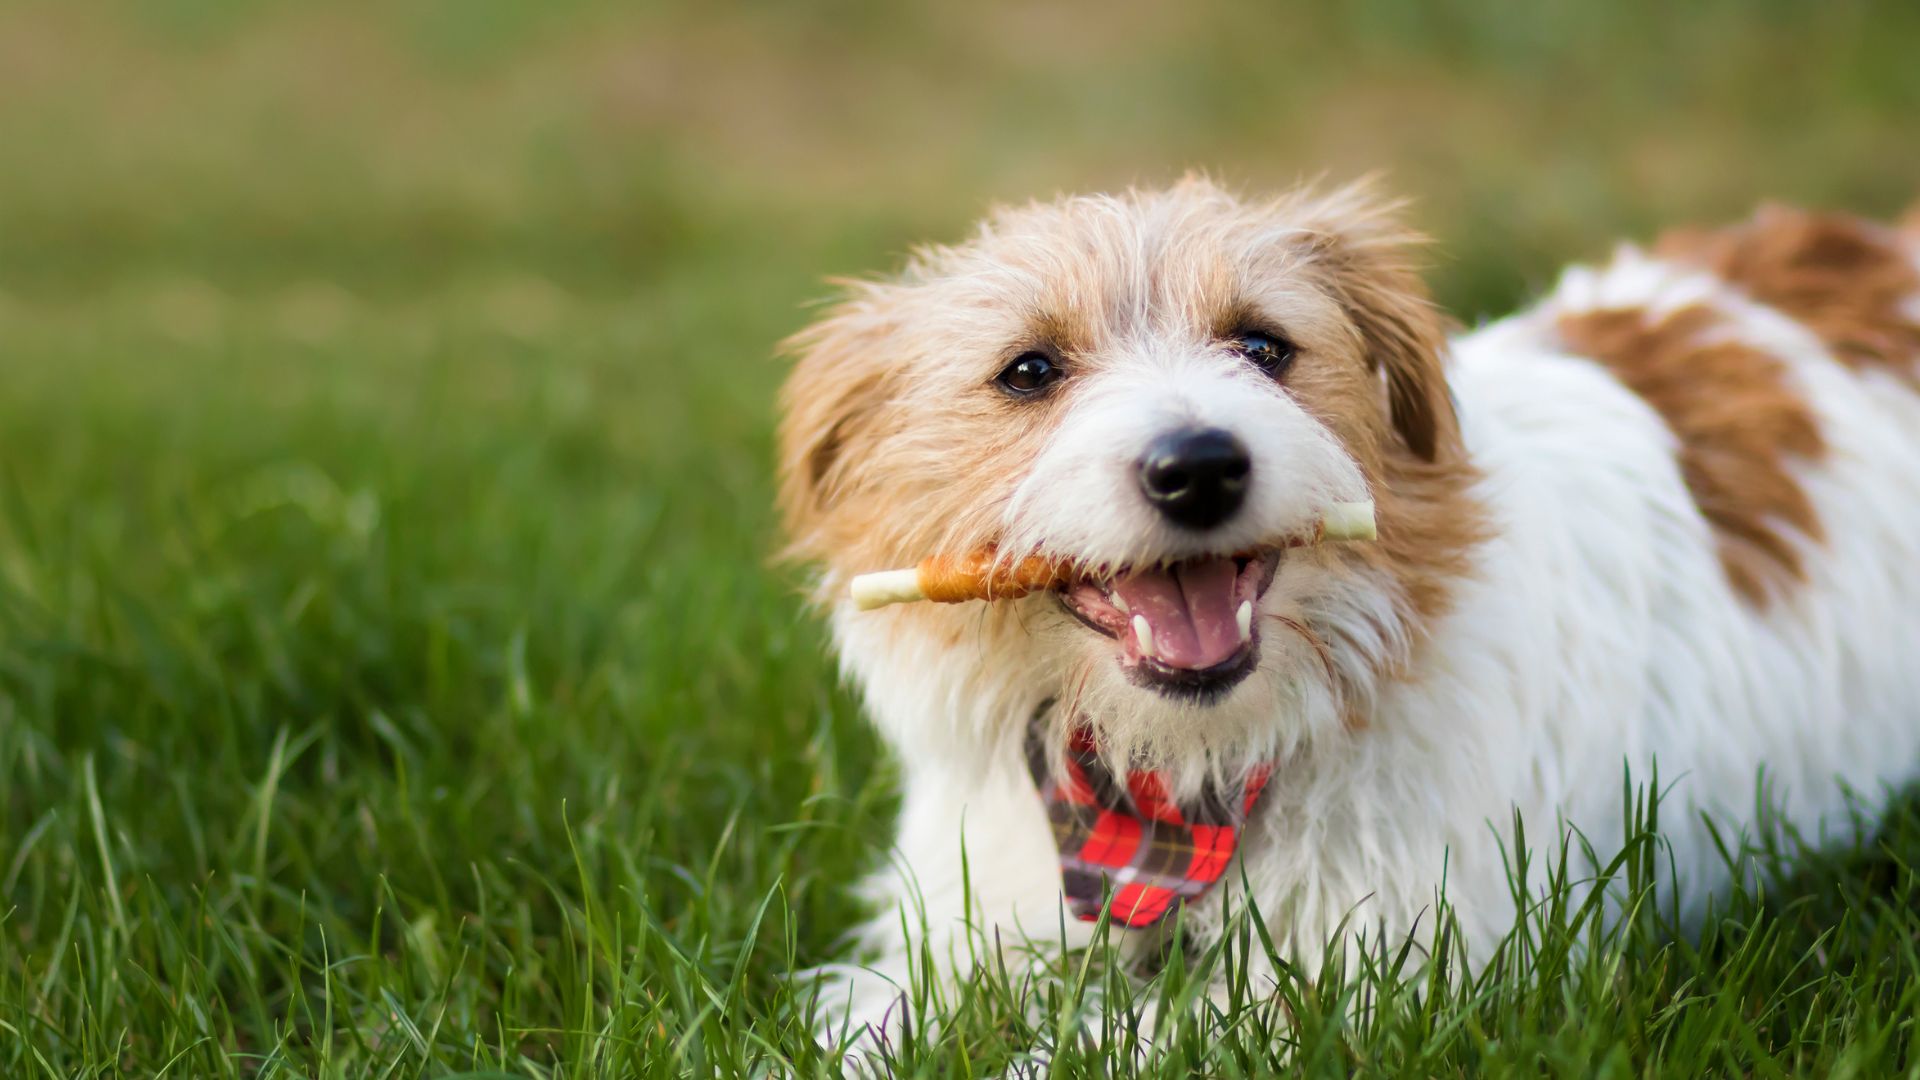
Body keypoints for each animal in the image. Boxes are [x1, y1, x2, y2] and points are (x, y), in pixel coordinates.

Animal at [771, 174, 1920, 1037]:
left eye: (1263, 346)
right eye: (1029, 370)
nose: (1199, 467)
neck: (1176, 790)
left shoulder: (1365, 983)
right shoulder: (962, 929)